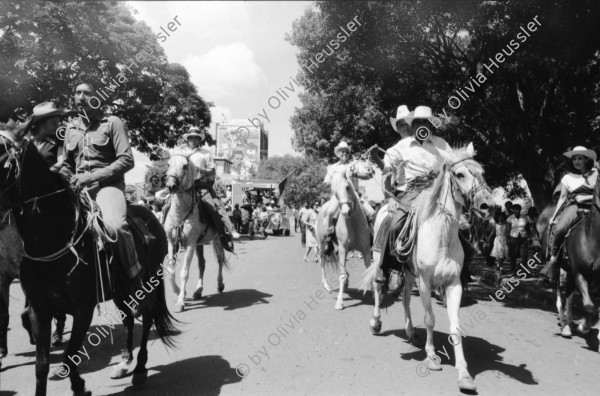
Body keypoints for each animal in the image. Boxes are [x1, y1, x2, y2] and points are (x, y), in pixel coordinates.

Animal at [0, 124, 177, 396]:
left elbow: (70, 355)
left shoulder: (83, 310)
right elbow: (41, 364)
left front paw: (80, 387)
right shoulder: (39, 310)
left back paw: (139, 369)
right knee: (128, 319)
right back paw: (124, 363)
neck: (53, 241)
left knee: (146, 317)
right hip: (121, 291)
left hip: (147, 284)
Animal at [161, 153, 229, 310]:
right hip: (200, 244)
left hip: (216, 239)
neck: (180, 213)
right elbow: (171, 271)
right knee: (202, 264)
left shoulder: (190, 243)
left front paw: (180, 302)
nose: (171, 186)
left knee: (220, 259)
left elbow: (184, 272)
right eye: (168, 164)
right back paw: (198, 291)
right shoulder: (171, 242)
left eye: (185, 166)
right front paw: (178, 291)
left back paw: (220, 284)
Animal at [360, 144, 492, 392]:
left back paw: (411, 332)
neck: (442, 236)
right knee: (378, 288)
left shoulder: (453, 284)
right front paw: (431, 357)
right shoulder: (425, 282)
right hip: (380, 259)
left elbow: (455, 325)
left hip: (409, 274)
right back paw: (376, 322)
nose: (487, 205)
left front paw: (464, 375)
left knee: (405, 298)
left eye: (482, 172)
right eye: (460, 174)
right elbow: (430, 319)